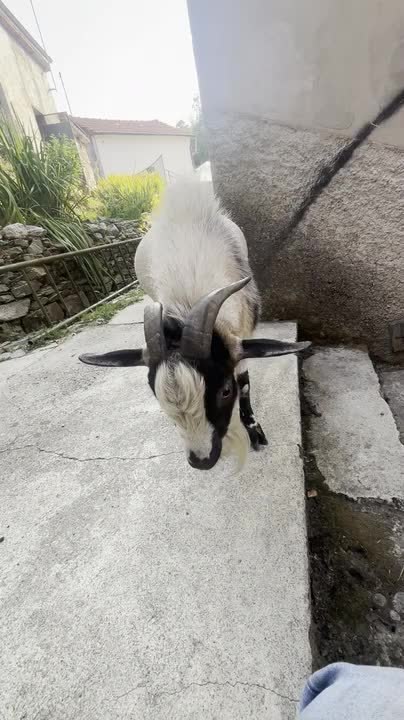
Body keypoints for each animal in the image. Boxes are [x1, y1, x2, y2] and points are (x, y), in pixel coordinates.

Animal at [80, 182, 309, 470]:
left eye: (225, 391)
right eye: (154, 392)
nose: (202, 461)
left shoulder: (243, 329)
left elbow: (244, 381)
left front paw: (254, 431)